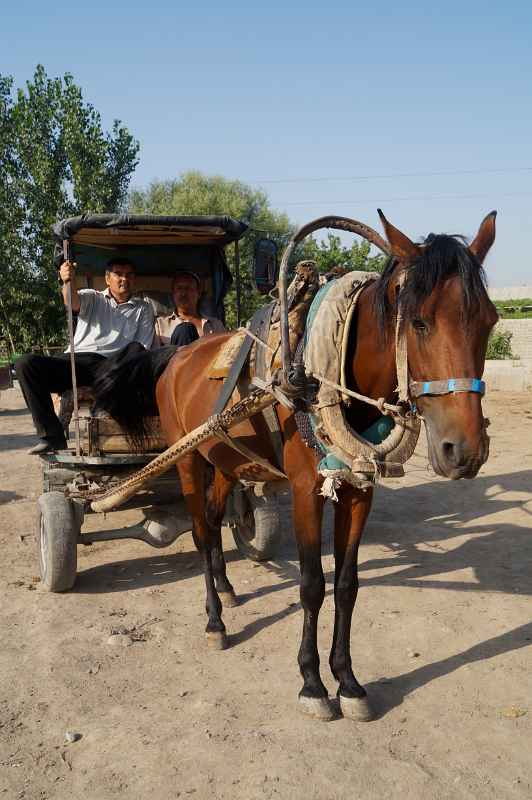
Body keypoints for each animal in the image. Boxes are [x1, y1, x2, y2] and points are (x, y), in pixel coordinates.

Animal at [92, 209, 498, 720]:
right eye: (420, 323)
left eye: (490, 321)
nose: (463, 451)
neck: (319, 376)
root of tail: (175, 356)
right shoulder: (307, 489)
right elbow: (311, 585)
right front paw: (312, 683)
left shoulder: (359, 487)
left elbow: (346, 584)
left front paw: (349, 682)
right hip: (187, 460)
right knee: (202, 532)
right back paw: (214, 620)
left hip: (223, 458)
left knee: (215, 516)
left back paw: (226, 587)